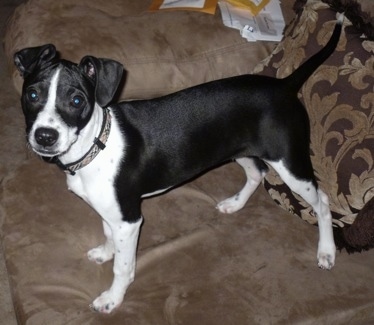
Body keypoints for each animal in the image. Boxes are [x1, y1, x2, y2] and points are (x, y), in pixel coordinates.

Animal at [13, 15, 342, 314]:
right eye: (32, 94)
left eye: (77, 101)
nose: (45, 136)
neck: (95, 143)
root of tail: (284, 85)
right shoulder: (112, 213)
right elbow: (108, 235)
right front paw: (106, 252)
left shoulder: (129, 220)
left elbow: (123, 266)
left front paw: (112, 299)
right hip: (239, 150)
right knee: (257, 172)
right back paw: (234, 204)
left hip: (289, 163)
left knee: (323, 201)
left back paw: (326, 251)